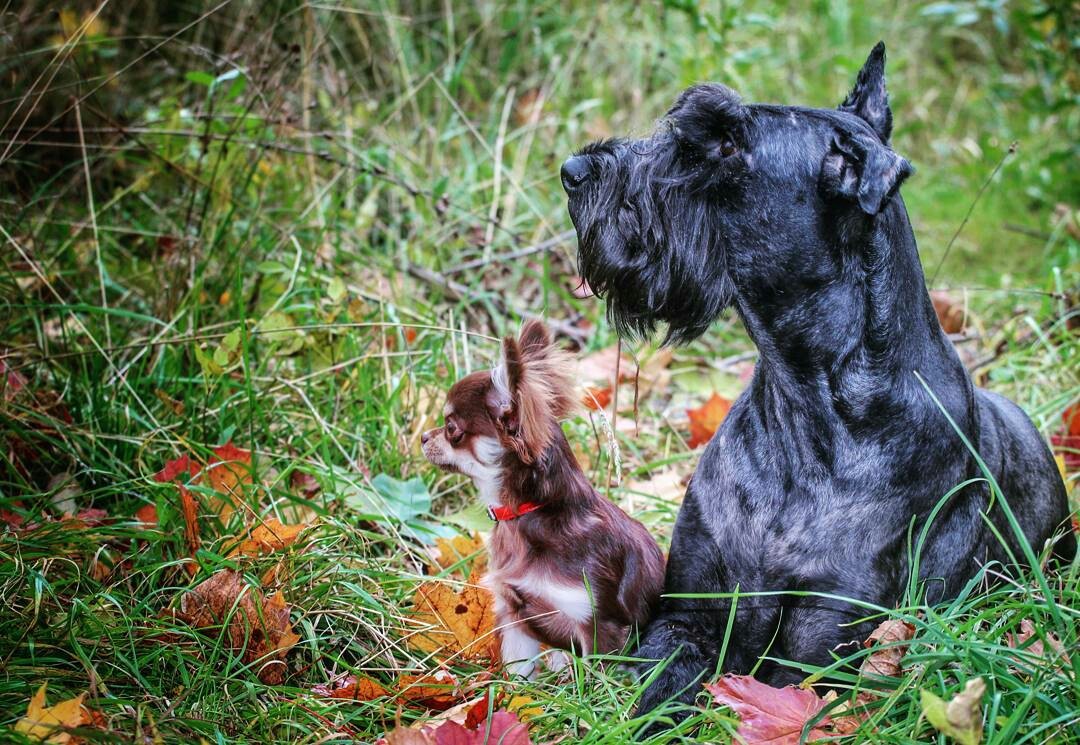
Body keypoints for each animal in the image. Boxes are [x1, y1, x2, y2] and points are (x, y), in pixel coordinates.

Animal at [423, 317, 665, 673]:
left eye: (451, 428)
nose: (424, 437)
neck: (528, 511)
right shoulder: (514, 616)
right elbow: (518, 673)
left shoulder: (599, 627)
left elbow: (595, 681)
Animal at [561, 43, 1075, 716]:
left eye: (726, 143)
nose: (572, 170)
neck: (807, 402)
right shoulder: (688, 616)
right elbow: (657, 698)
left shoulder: (816, 649)